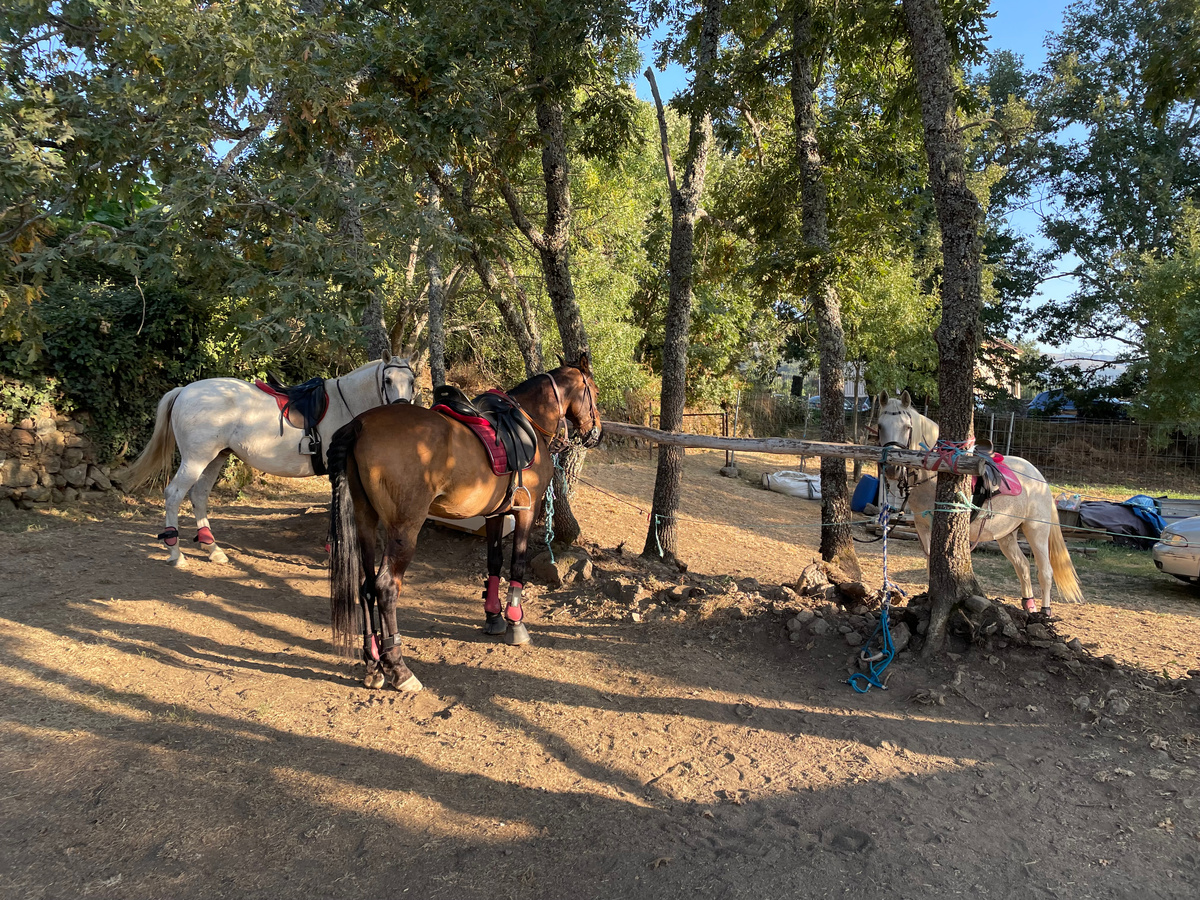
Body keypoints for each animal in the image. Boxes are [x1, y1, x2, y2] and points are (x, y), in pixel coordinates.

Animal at [122, 355, 412, 566]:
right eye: (387, 379)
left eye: (411, 380)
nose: (401, 407)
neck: (346, 404)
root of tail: (184, 391)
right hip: (195, 459)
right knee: (173, 495)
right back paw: (176, 554)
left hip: (214, 458)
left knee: (199, 496)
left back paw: (213, 549)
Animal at [326, 355, 600, 696]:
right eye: (595, 393)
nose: (596, 433)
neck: (528, 421)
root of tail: (360, 424)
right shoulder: (526, 509)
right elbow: (517, 565)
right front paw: (515, 622)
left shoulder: (496, 514)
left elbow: (494, 562)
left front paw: (493, 616)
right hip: (404, 530)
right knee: (385, 587)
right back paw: (398, 668)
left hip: (365, 521)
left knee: (365, 586)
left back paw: (374, 663)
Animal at [878, 391, 1084, 619]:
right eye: (880, 426)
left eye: (907, 426)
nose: (892, 468)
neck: (934, 473)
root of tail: (1039, 479)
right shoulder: (922, 527)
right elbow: (931, 564)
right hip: (1006, 535)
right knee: (1022, 566)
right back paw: (1028, 606)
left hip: (1036, 530)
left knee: (1045, 571)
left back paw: (1045, 612)